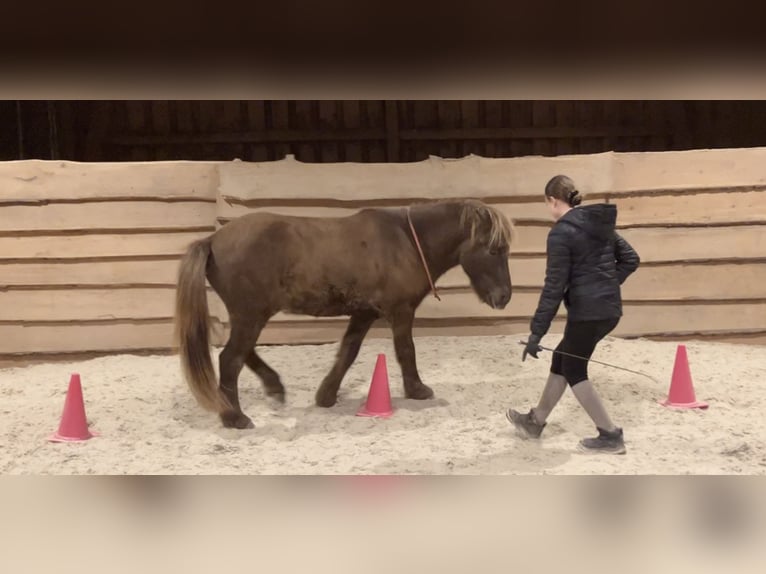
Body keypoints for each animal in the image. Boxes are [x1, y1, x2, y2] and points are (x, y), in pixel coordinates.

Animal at [174, 198, 514, 429]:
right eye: (494, 249)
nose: (505, 296)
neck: (405, 242)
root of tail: (212, 240)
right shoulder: (401, 311)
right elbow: (406, 350)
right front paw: (417, 390)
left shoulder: (364, 313)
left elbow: (348, 352)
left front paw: (326, 395)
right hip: (250, 315)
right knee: (230, 359)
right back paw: (235, 417)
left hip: (250, 315)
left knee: (243, 354)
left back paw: (273, 387)